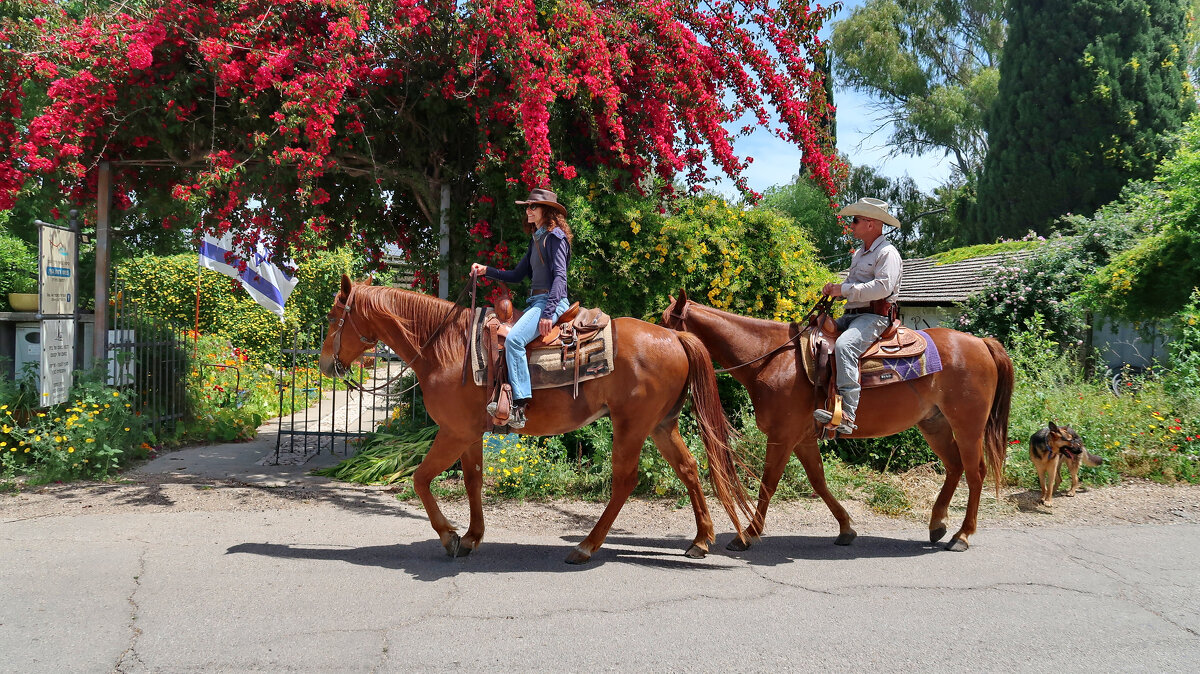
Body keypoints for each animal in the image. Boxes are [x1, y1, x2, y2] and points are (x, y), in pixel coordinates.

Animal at [319, 274, 748, 561]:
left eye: (333, 317)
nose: (324, 365)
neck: (447, 348)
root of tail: (675, 336)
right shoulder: (470, 434)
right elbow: (473, 481)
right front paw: (472, 536)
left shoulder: (453, 432)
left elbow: (421, 479)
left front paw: (449, 536)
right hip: (660, 425)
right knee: (689, 468)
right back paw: (700, 540)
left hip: (632, 426)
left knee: (625, 481)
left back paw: (586, 546)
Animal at [667, 290, 1012, 551]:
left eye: (667, 322)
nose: (664, 348)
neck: (771, 358)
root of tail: (982, 343)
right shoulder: (803, 438)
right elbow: (818, 481)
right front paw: (846, 528)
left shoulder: (782, 436)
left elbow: (769, 483)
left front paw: (748, 535)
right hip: (934, 424)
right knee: (954, 467)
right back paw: (937, 524)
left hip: (968, 426)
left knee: (975, 473)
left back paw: (961, 536)